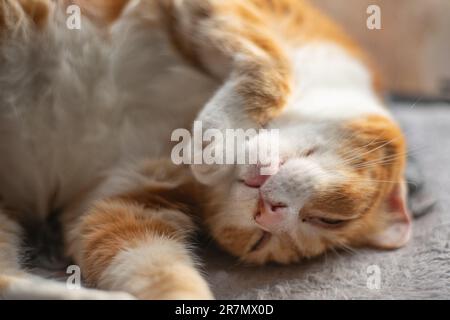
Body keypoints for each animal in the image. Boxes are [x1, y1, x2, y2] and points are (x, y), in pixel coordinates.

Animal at [0, 0, 410, 300]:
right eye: (331, 219)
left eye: (260, 241)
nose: (269, 212)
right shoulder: (238, 13)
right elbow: (266, 65)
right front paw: (217, 140)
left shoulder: (123, 199)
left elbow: (158, 269)